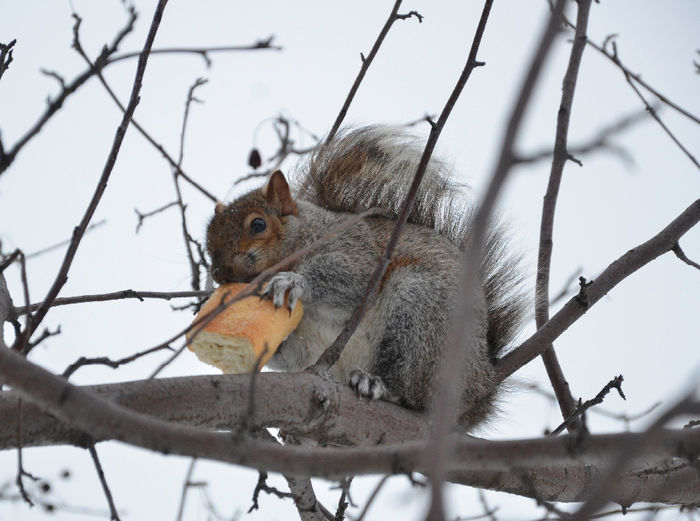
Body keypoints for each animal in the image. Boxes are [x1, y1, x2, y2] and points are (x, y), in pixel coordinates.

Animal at [206, 125, 524, 426]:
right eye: (208, 239)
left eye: (258, 225)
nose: (220, 272)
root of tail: (479, 385)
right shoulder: (304, 345)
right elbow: (290, 353)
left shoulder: (358, 250)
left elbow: (351, 279)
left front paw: (293, 282)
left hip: (422, 314)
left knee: (410, 387)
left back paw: (377, 384)